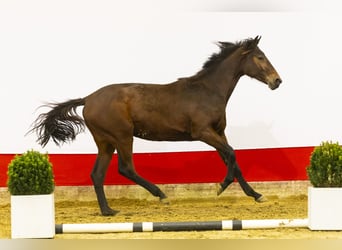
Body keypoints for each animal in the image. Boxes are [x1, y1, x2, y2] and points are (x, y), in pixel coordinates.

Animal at [30, 36, 282, 216]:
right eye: (260, 56)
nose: (277, 81)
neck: (207, 92)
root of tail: (88, 99)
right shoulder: (203, 132)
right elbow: (232, 155)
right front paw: (220, 187)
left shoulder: (219, 133)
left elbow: (233, 161)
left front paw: (257, 195)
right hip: (122, 136)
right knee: (126, 168)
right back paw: (161, 195)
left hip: (105, 142)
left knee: (97, 174)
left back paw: (108, 211)